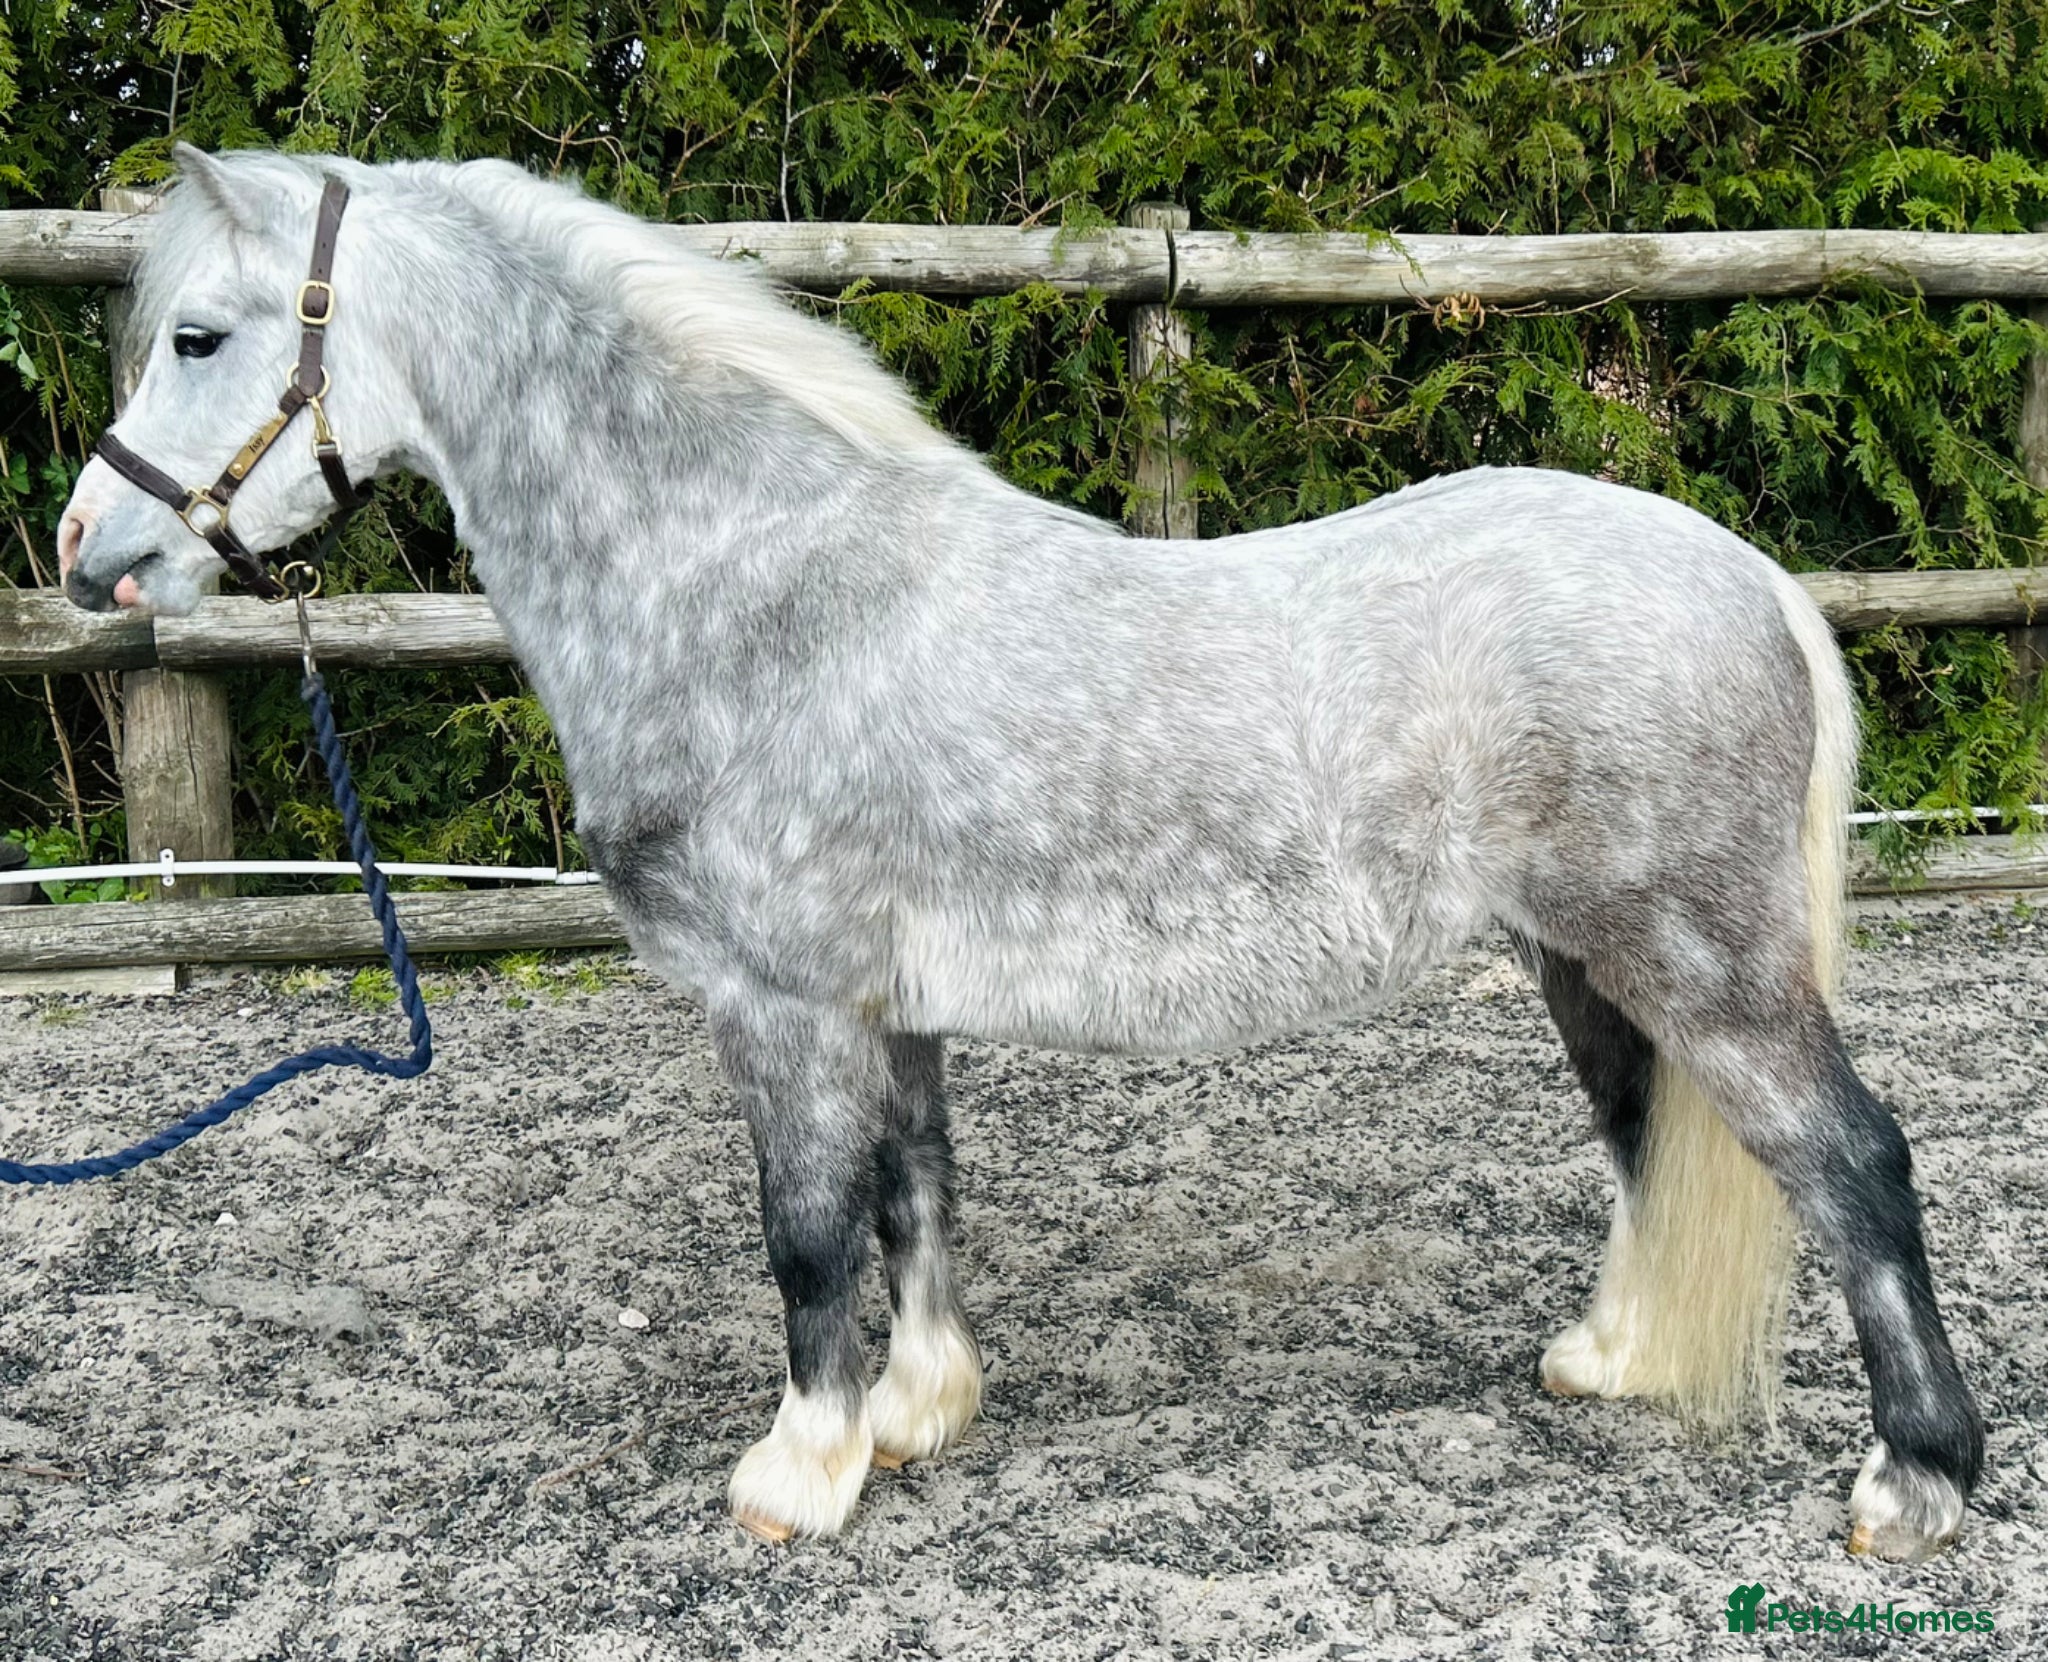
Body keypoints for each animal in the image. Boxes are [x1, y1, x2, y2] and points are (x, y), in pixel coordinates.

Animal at [58, 145, 1983, 1561]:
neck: (754, 584)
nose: (88, 553)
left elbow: (808, 1237)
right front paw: (915, 1417)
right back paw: (1612, 1360)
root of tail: (1750, 581)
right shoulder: (887, 999)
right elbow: (915, 1198)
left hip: (1705, 965)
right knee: (1654, 1139)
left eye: (204, 337)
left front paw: (800, 1473)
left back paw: (1912, 1486)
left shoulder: (782, 1005)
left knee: (1851, 1163)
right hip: (1589, 963)